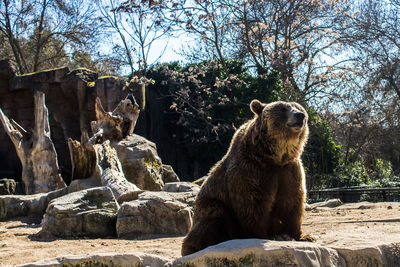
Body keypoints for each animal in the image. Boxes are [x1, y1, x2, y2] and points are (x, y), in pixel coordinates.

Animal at [181, 99, 312, 256]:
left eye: (299, 108)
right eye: (283, 108)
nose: (300, 116)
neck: (273, 156)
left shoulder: (289, 170)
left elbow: (293, 200)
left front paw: (303, 236)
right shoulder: (251, 170)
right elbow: (252, 204)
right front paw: (261, 235)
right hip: (209, 205)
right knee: (214, 217)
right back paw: (195, 247)